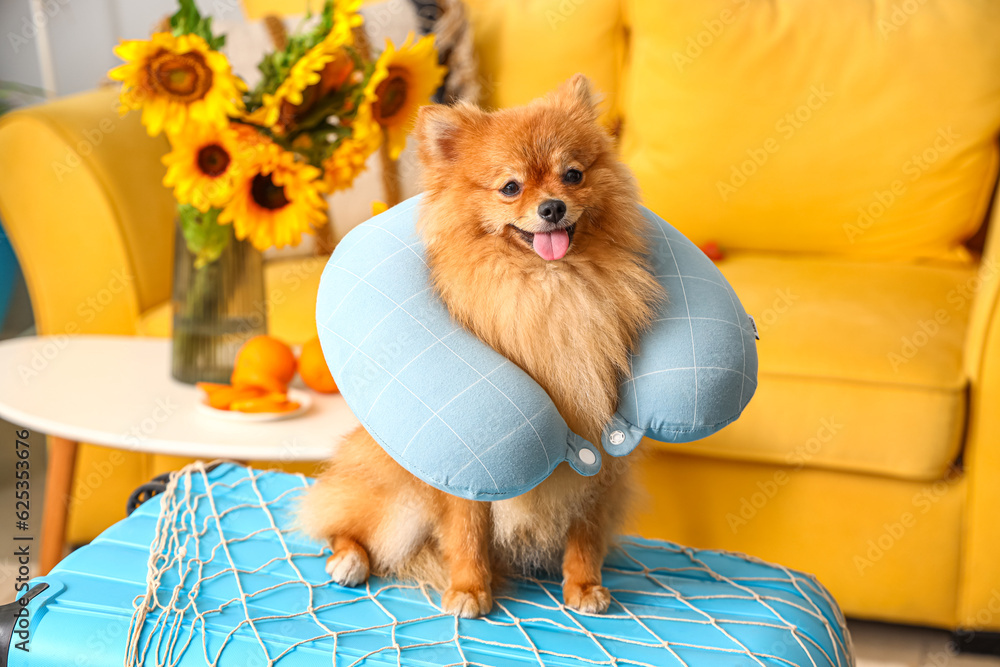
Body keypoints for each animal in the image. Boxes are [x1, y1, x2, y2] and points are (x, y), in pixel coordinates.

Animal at [302, 75, 664, 620]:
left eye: (573, 175)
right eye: (510, 187)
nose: (552, 207)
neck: (549, 288)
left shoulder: (600, 460)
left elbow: (585, 533)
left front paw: (584, 585)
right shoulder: (464, 474)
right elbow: (467, 531)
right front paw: (470, 590)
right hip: (396, 501)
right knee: (346, 524)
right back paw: (348, 560)